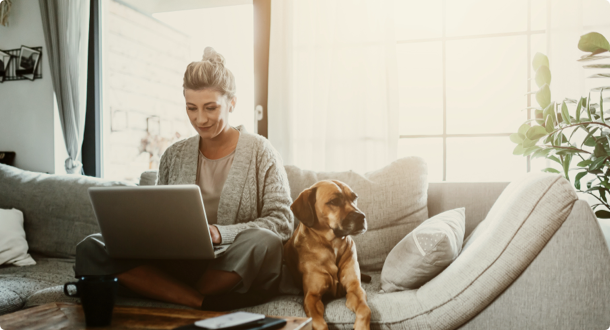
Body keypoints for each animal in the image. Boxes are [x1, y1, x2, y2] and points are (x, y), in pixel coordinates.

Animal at [282, 180, 368, 330]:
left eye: (354, 198)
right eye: (334, 201)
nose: (361, 217)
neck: (333, 245)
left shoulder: (355, 288)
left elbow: (365, 310)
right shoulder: (312, 297)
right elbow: (319, 323)